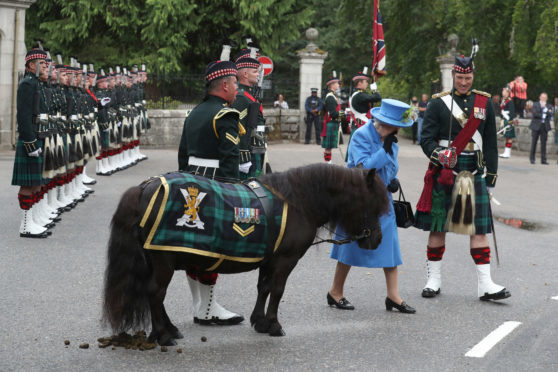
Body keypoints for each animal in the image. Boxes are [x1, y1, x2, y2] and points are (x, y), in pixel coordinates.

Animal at [103, 163, 390, 346]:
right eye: (373, 204)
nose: (377, 240)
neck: (297, 201)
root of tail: (146, 187)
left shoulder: (269, 260)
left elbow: (263, 288)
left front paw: (260, 322)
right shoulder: (285, 260)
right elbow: (277, 290)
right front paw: (274, 325)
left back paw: (167, 330)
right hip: (164, 259)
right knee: (155, 292)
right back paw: (163, 335)